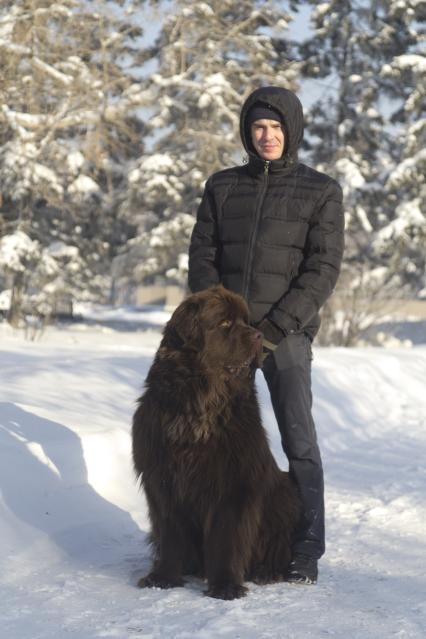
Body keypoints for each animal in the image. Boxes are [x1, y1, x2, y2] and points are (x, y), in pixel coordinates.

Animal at [131, 284, 302, 600]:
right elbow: (170, 533)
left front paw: (225, 585)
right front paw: (163, 577)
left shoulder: (234, 483)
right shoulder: (163, 479)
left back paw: (267, 571)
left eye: (246, 321)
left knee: (278, 546)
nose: (257, 336)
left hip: (284, 495)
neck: (200, 404)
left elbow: (227, 538)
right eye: (224, 323)